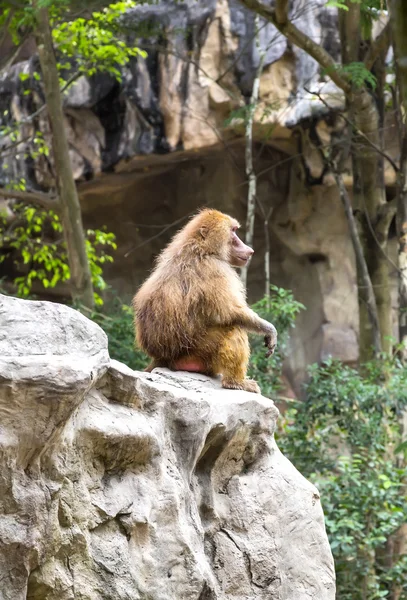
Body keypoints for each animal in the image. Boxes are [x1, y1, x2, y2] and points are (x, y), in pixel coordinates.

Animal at [134, 209, 278, 396]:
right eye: (233, 231)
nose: (250, 250)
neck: (201, 248)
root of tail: (162, 358)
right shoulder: (216, 268)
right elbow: (232, 312)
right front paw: (270, 329)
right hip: (196, 353)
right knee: (234, 328)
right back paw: (235, 383)